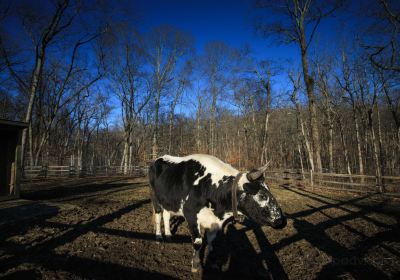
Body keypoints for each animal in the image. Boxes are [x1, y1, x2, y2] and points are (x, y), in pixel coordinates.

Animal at [148, 154, 286, 272]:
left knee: (166, 215)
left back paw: (169, 235)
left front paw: (211, 257)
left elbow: (211, 239)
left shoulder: (215, 221)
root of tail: (158, 158)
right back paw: (159, 236)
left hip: (168, 201)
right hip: (155, 198)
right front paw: (195, 264)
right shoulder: (191, 215)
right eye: (262, 196)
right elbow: (197, 242)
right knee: (159, 216)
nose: (281, 220)